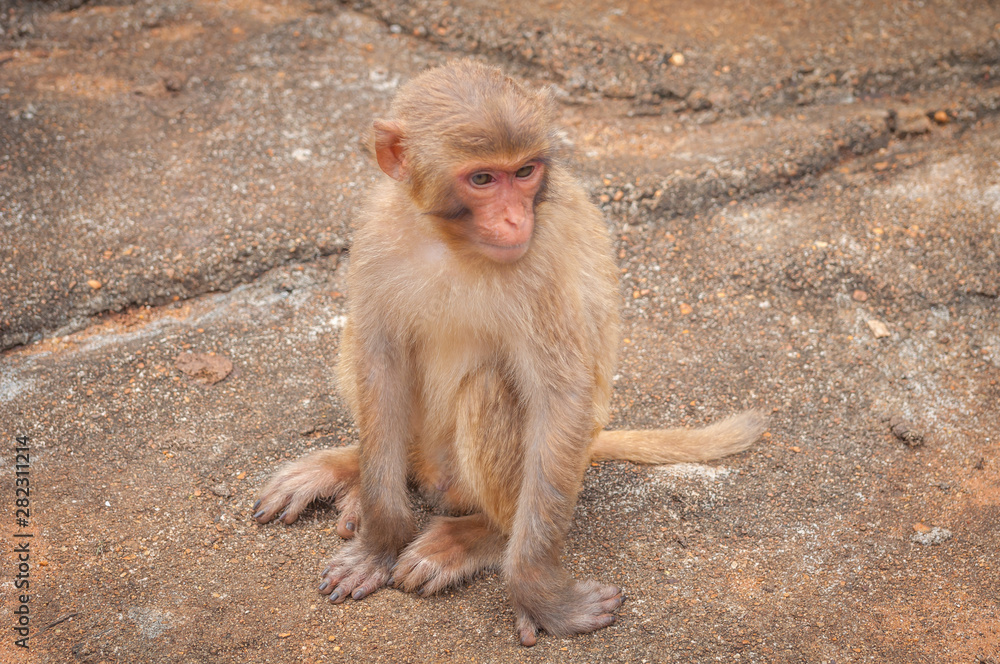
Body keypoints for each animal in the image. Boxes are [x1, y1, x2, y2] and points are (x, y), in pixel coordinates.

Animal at [253, 59, 765, 647]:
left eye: (524, 172)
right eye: (482, 179)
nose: (516, 219)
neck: (452, 242)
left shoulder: (539, 263)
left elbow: (561, 397)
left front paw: (537, 594)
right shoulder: (377, 232)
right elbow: (380, 359)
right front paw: (380, 541)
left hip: (505, 470)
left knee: (491, 390)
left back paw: (484, 537)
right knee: (360, 343)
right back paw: (354, 472)